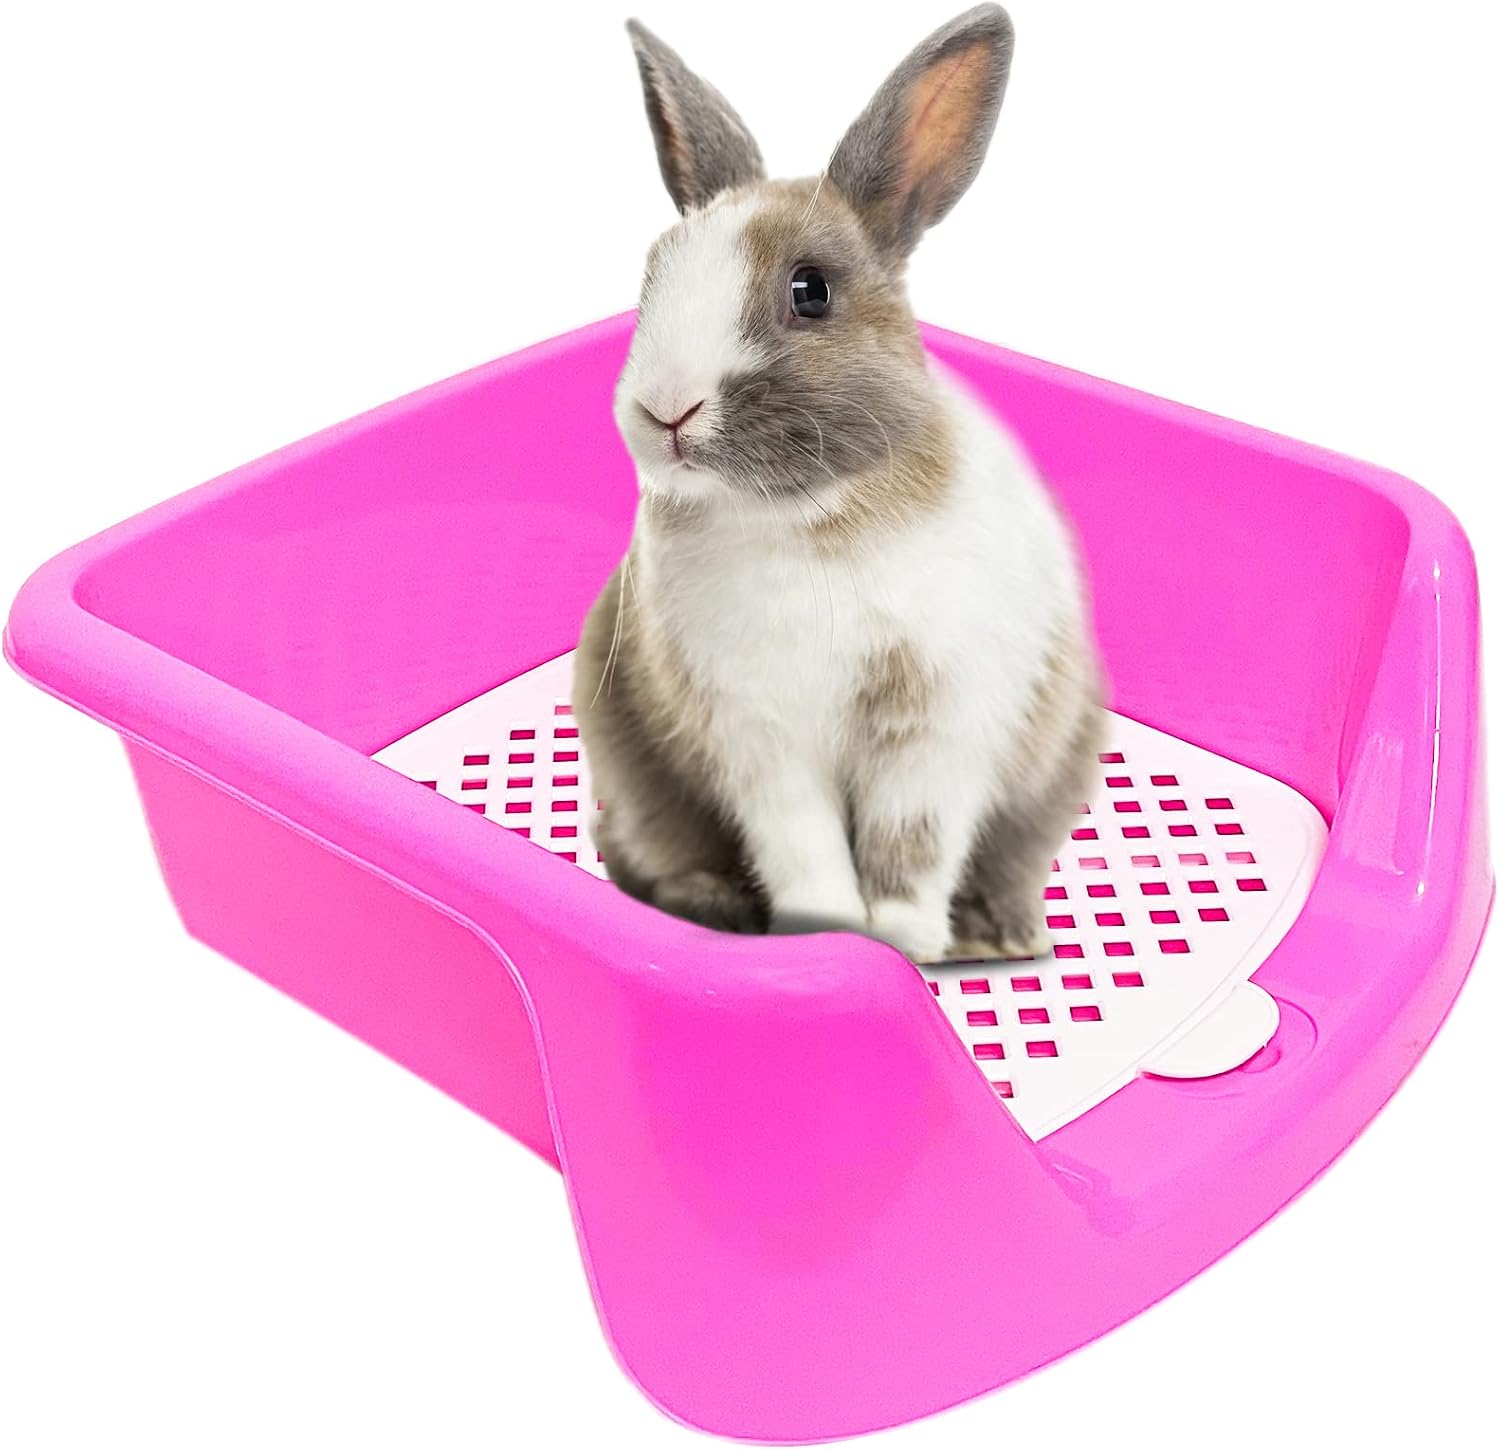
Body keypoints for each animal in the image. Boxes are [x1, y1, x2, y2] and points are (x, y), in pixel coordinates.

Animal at [573, 4, 1103, 965]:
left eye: (810, 291)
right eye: (653, 273)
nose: (666, 410)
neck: (806, 518)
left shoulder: (936, 730)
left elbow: (912, 843)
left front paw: (904, 940)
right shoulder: (759, 740)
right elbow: (803, 844)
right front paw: (826, 932)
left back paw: (1001, 937)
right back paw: (709, 905)